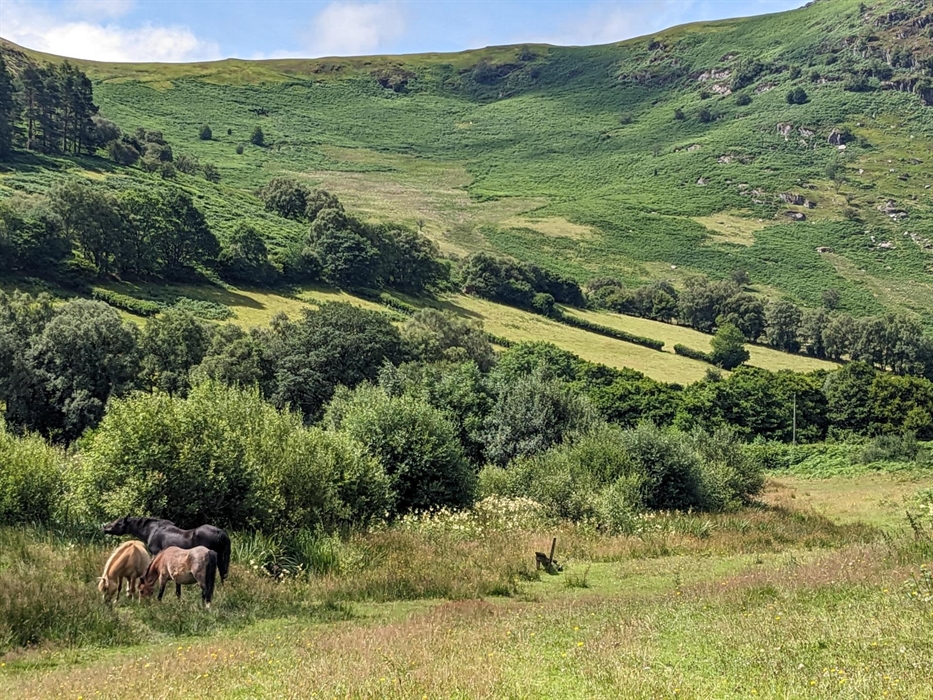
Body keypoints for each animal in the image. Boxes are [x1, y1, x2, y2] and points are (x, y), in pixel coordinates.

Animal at [102, 516, 230, 582]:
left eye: (118, 523)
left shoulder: (155, 553)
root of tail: (219, 532)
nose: (105, 528)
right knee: (223, 573)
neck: (151, 530)